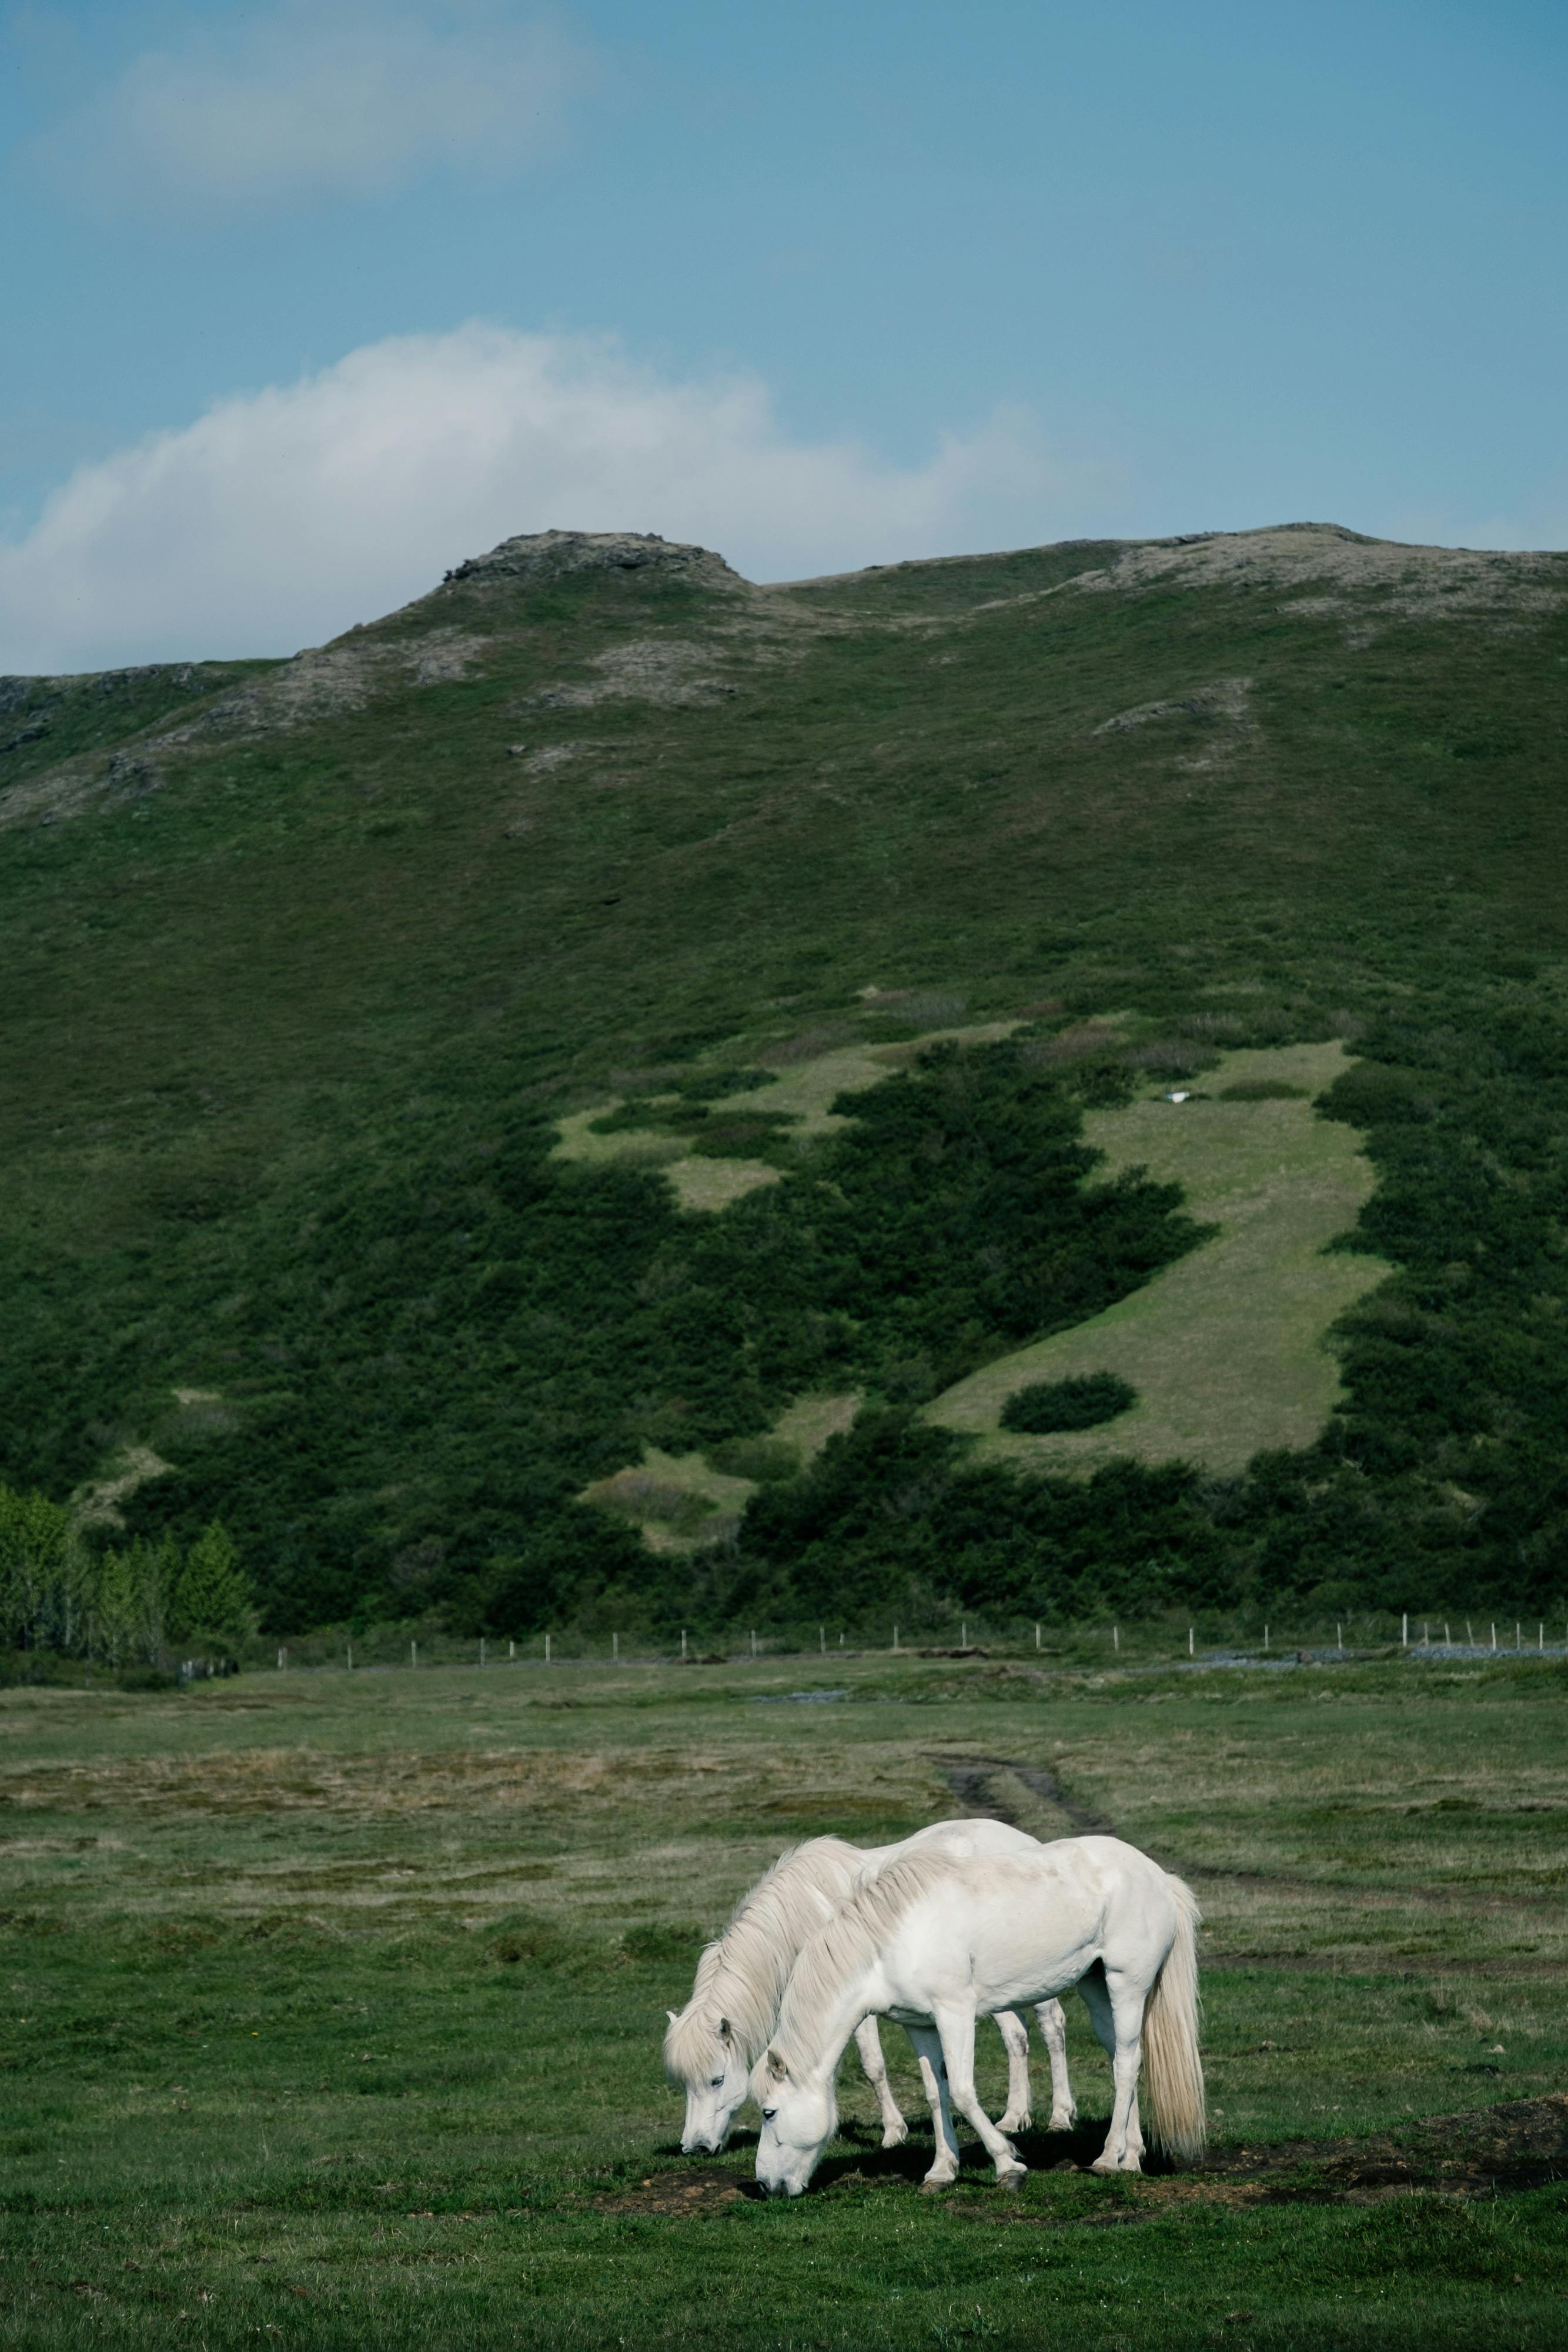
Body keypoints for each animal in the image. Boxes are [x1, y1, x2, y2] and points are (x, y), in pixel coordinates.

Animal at [663, 1820, 1076, 2155]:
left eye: (717, 2079)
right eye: (684, 2084)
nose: (695, 2147)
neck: (806, 1916)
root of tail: (1025, 1840)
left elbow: (873, 2065)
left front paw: (894, 2132)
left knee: (1051, 2027)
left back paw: (1060, 2115)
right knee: (1016, 2037)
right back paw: (1015, 2117)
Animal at [751, 1834, 1204, 2196]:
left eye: (768, 2112)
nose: (765, 2185)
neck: (890, 1943)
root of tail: (1157, 1876)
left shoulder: (955, 2013)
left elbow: (963, 2091)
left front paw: (1008, 2165)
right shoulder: (920, 2026)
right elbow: (936, 2093)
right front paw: (941, 2171)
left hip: (1127, 1985)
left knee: (1126, 2063)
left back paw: (1109, 2159)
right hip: (1096, 1988)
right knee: (1122, 2058)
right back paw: (1132, 2155)